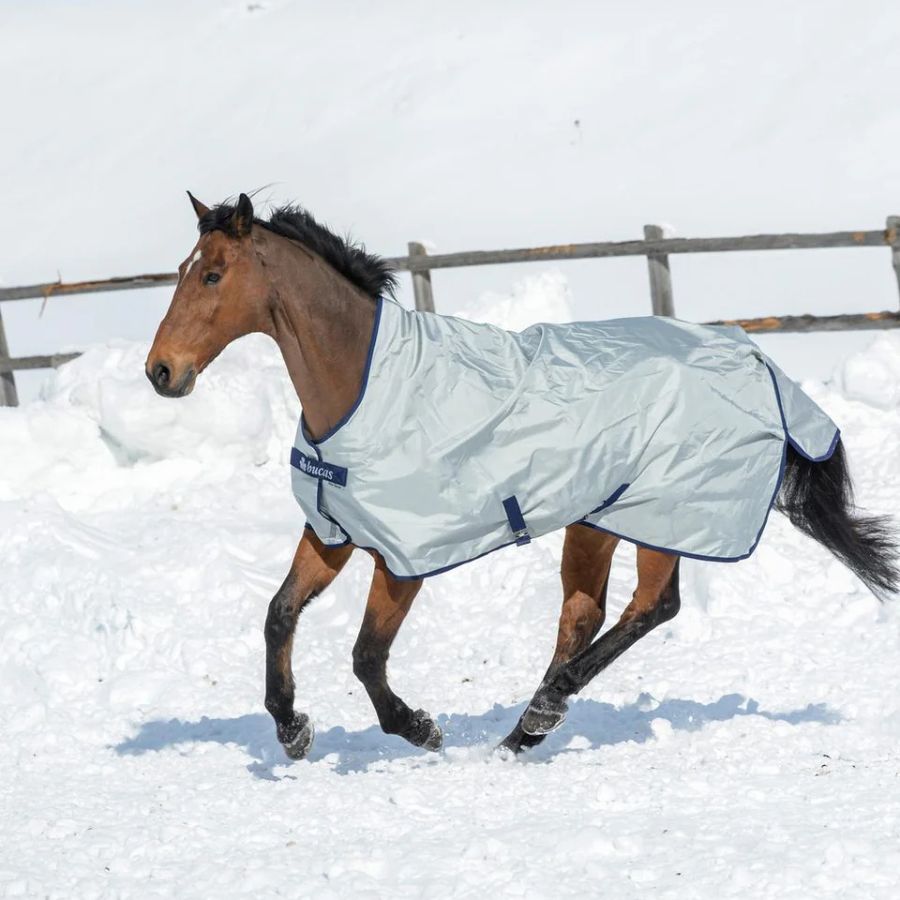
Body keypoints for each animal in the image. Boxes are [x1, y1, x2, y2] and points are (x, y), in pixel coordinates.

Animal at [146, 192, 898, 760]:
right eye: (180, 268)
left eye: (212, 275)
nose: (161, 371)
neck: (360, 387)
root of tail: (755, 359)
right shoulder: (335, 532)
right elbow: (278, 615)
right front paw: (292, 729)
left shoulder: (405, 555)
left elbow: (366, 655)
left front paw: (419, 728)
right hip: (598, 517)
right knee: (584, 613)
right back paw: (525, 730)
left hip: (663, 515)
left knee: (651, 607)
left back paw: (542, 710)